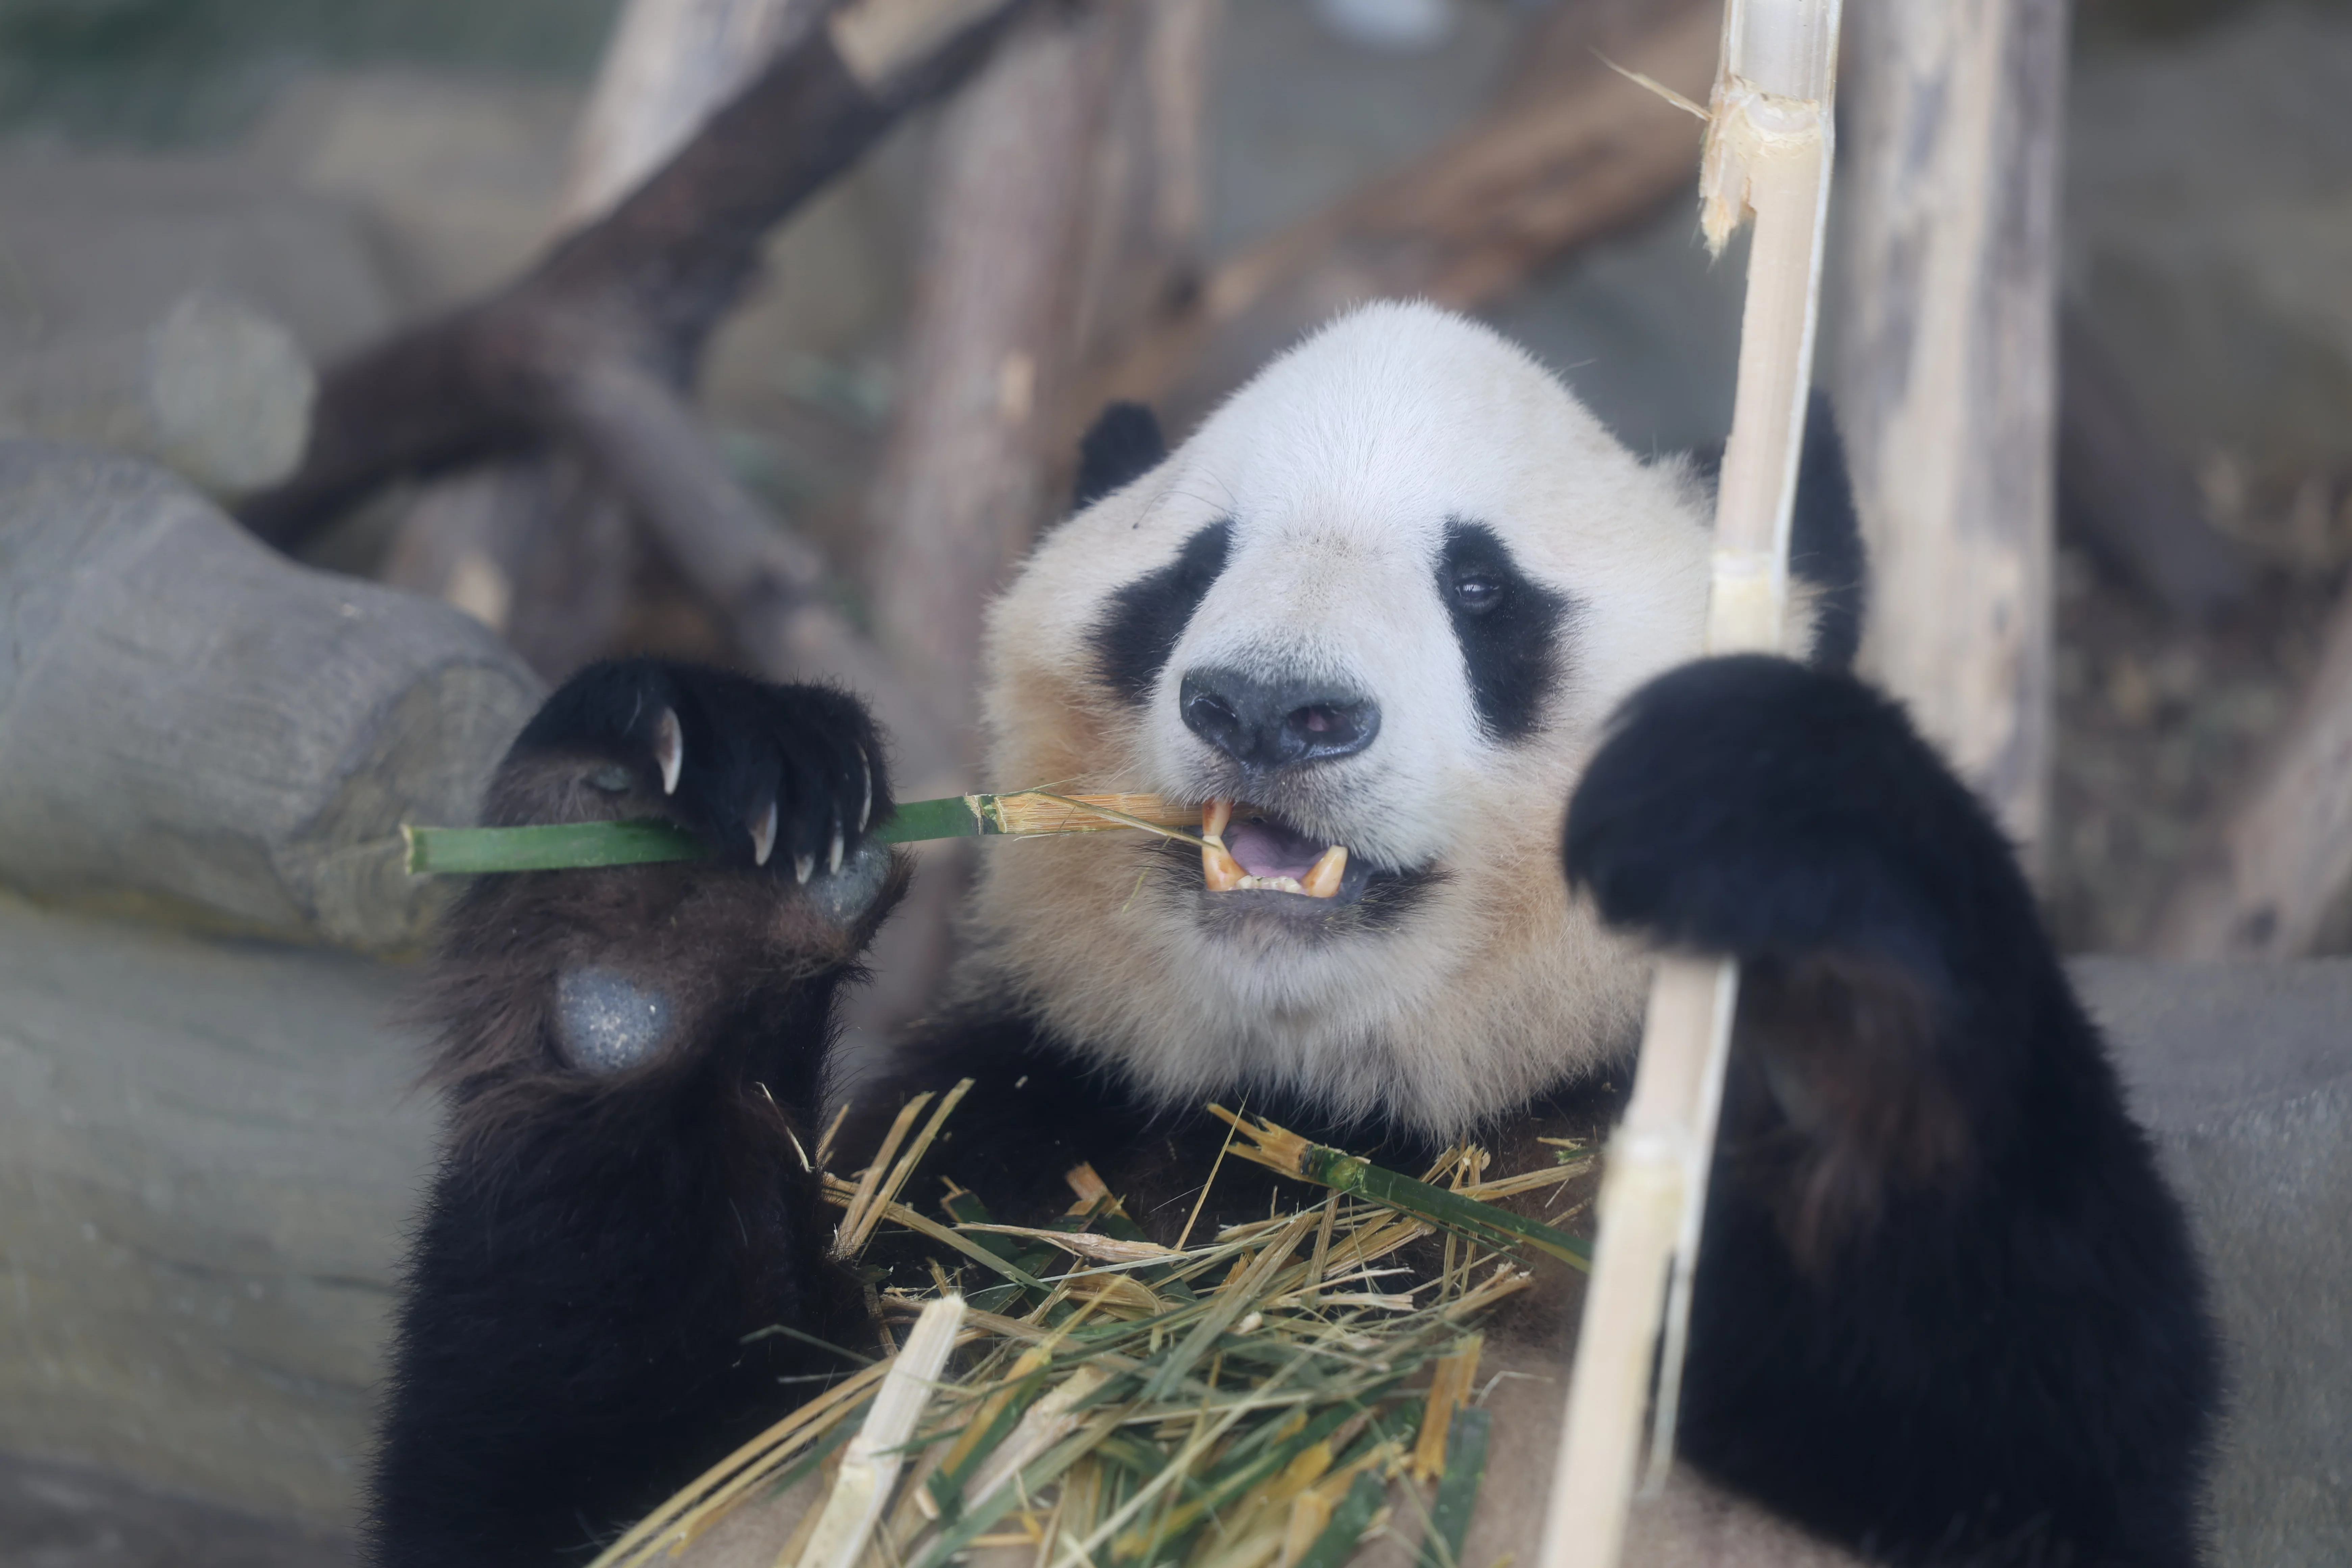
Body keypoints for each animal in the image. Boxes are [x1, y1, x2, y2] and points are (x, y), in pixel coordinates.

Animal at [370, 303, 2218, 1568]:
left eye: (1481, 589)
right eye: (1193, 568)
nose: (1271, 708)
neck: (1337, 1122)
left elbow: (2042, 1407)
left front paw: (1787, 843)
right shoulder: (1009, 1154)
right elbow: (624, 1472)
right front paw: (670, 873)